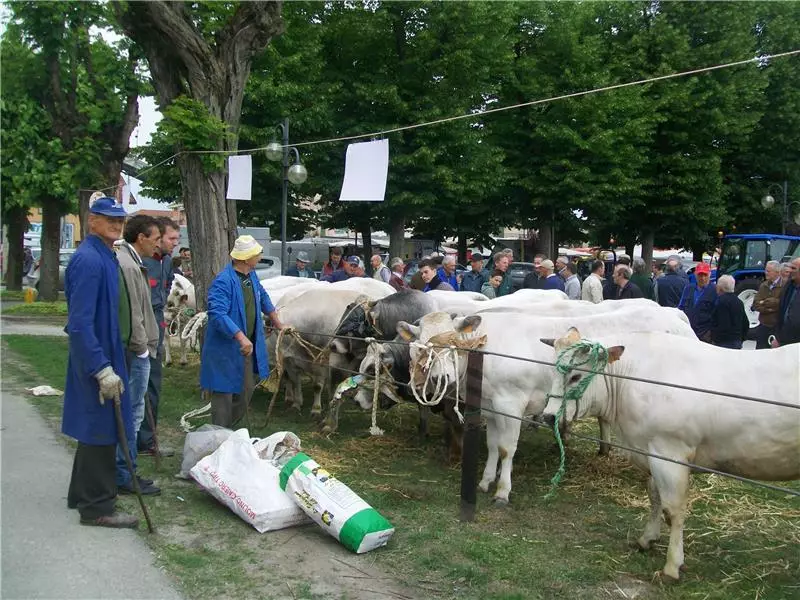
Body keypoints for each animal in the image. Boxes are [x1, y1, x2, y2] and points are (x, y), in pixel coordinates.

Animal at [396, 304, 696, 506]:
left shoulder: (510, 403)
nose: (440, 378)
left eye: (453, 345)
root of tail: (674, 315)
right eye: (422, 347)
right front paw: (485, 481)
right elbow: (492, 445)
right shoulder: (491, 405)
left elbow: (507, 448)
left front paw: (503, 491)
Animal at [540, 328, 796, 580]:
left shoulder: (670, 452)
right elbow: (654, 495)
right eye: (553, 371)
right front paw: (647, 538)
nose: (548, 417)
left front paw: (673, 565)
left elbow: (673, 509)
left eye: (575, 376)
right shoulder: (652, 454)